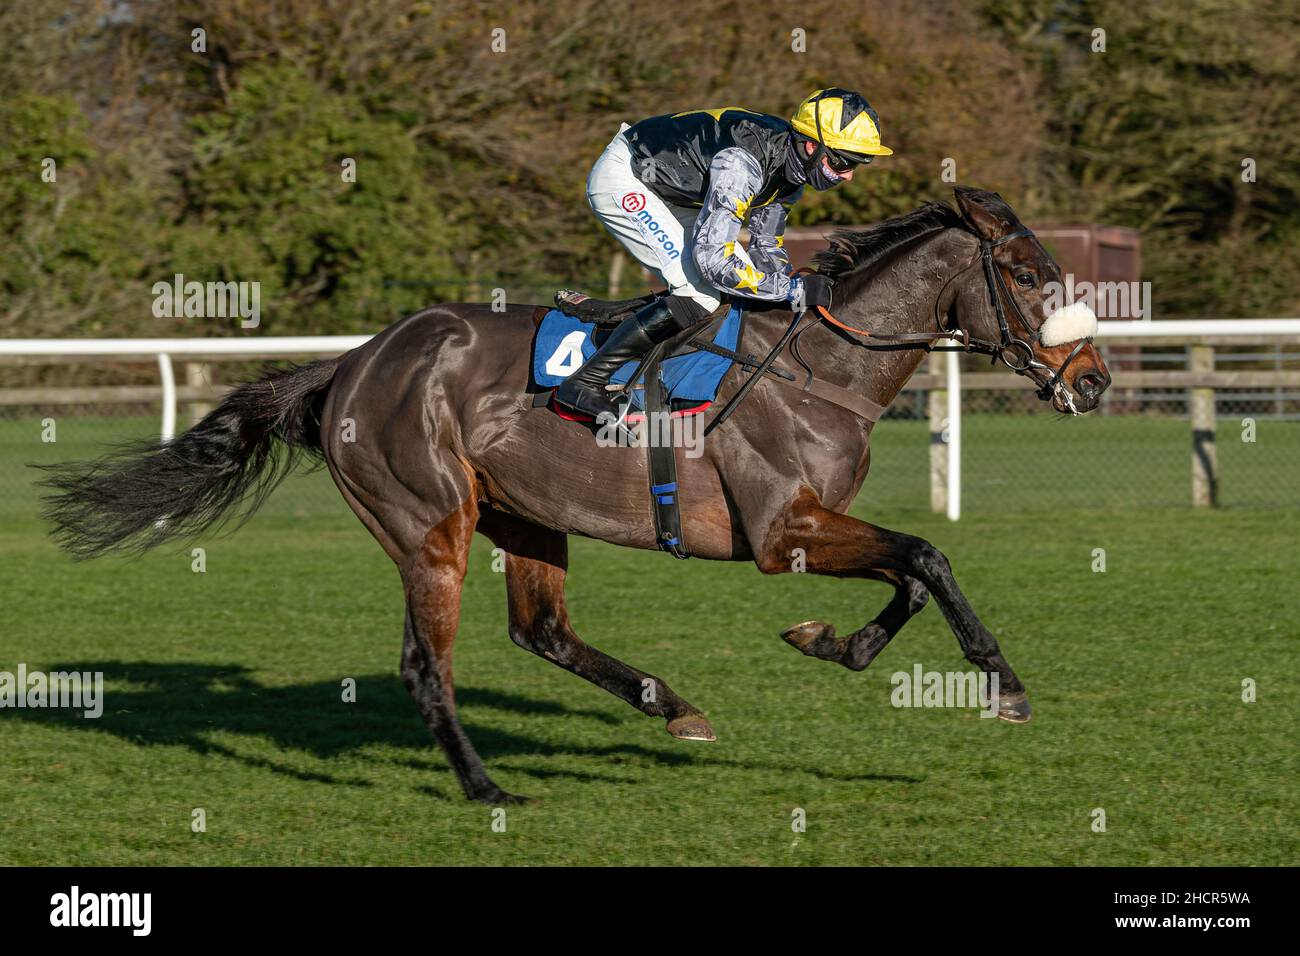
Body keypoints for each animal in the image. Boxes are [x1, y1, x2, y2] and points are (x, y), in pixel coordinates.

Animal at [45, 184, 1112, 801]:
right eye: (1027, 273)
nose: (1095, 380)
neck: (822, 369)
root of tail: (351, 363)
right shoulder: (783, 532)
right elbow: (929, 555)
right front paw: (1004, 685)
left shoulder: (808, 526)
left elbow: (911, 578)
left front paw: (831, 642)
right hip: (430, 523)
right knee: (424, 666)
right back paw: (486, 788)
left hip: (527, 516)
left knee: (543, 632)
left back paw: (671, 705)